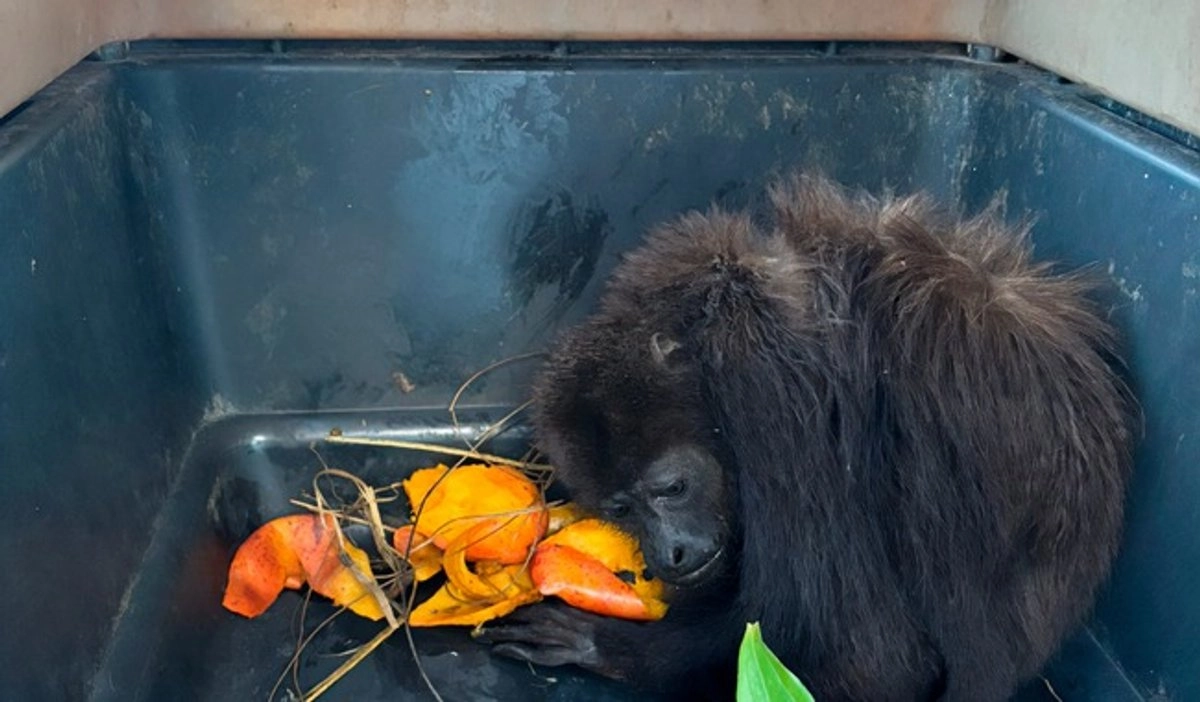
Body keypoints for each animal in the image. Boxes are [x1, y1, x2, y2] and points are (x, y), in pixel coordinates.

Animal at [476, 173, 1136, 702]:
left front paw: (607, 649)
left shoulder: (769, 397)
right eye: (621, 510)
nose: (672, 553)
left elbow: (876, 658)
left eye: (672, 488)